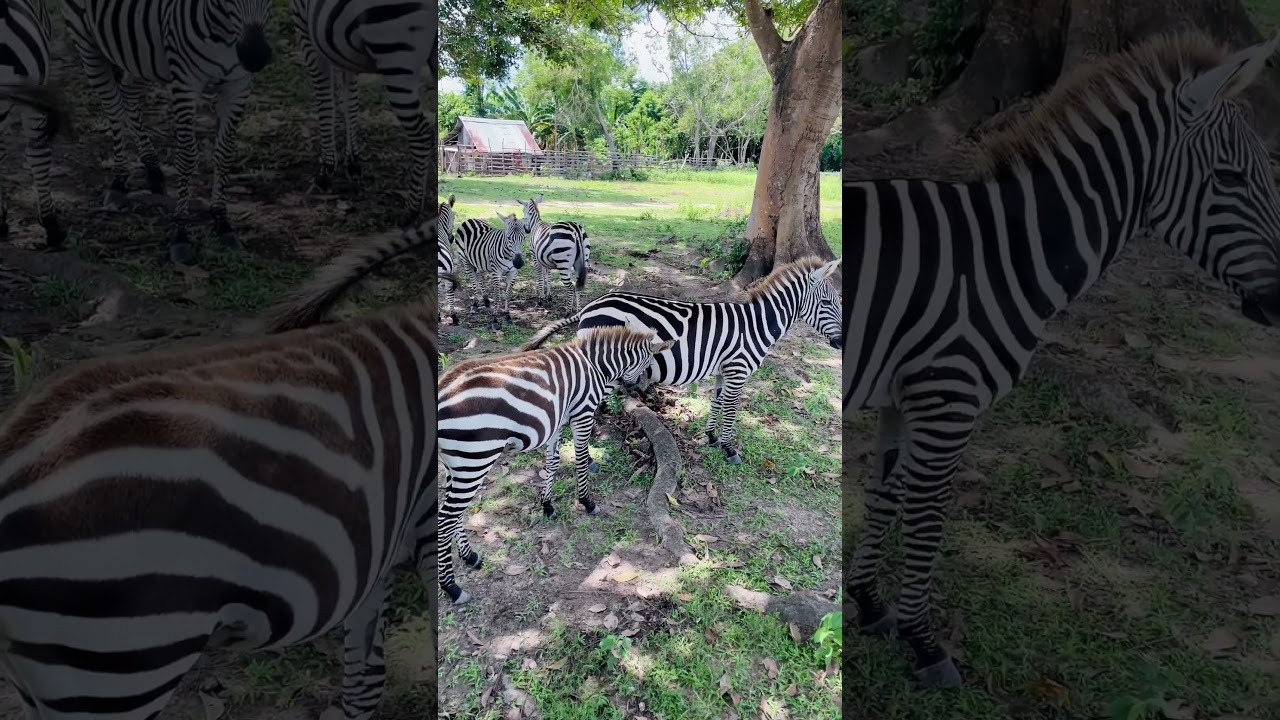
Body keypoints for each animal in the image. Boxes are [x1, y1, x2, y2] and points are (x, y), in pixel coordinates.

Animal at [61, 0, 276, 266]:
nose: (255, 56)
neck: (224, 35)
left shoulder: (238, 85)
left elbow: (224, 155)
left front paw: (223, 223)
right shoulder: (185, 83)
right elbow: (186, 159)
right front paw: (180, 235)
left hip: (141, 54)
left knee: (128, 93)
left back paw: (153, 170)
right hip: (86, 41)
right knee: (113, 108)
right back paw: (119, 181)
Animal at [287, 0, 432, 226]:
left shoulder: (305, 28)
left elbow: (325, 101)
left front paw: (326, 169)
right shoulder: (342, 49)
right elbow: (350, 100)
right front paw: (353, 161)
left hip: (394, 52)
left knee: (422, 134)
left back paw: (412, 210)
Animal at [437, 321, 676, 605]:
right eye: (648, 363)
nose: (643, 393)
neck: (595, 365)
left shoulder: (558, 419)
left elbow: (552, 462)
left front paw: (547, 505)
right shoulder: (582, 413)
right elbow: (581, 459)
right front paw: (586, 502)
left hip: (457, 463)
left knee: (455, 513)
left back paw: (469, 556)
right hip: (474, 459)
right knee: (445, 518)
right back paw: (452, 588)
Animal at [523, 256, 843, 464]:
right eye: (829, 303)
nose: (840, 344)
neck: (757, 325)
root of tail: (591, 305)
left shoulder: (723, 370)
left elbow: (716, 402)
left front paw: (712, 437)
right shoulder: (738, 370)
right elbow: (730, 410)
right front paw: (729, 449)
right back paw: (588, 456)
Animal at [843, 32, 1280, 689]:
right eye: (1229, 179)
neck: (1002, 256)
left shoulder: (904, 393)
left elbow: (886, 496)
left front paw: (869, 603)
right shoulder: (949, 397)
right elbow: (927, 513)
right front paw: (925, 643)